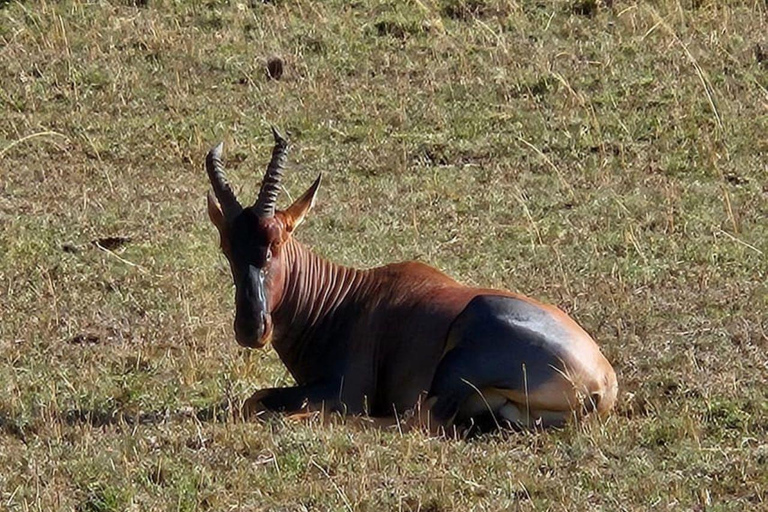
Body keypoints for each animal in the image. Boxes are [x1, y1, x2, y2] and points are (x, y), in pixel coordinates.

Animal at [204, 129, 616, 432]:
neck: (345, 299)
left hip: (462, 356)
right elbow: (253, 398)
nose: (251, 327)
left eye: (276, 242)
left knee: (413, 421)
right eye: (226, 247)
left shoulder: (345, 390)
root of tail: (604, 380)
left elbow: (259, 402)